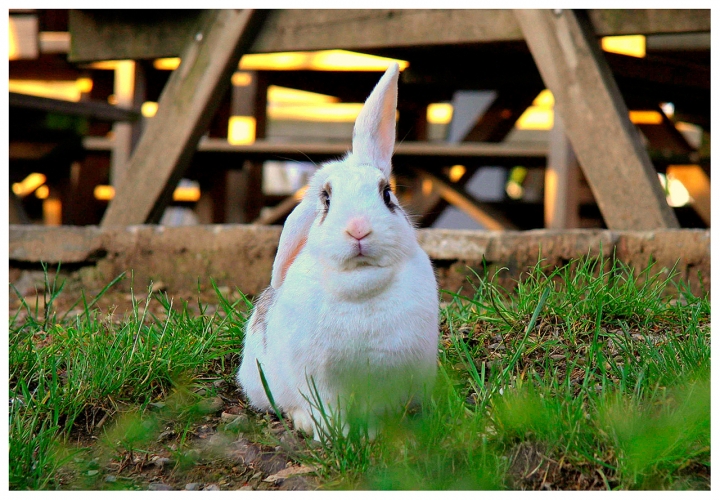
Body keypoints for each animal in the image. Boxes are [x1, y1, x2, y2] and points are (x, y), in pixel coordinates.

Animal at [238, 63, 438, 442]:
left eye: (386, 194)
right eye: (327, 200)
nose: (358, 228)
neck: (360, 283)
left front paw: (374, 436)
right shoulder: (320, 381)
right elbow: (327, 410)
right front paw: (332, 435)